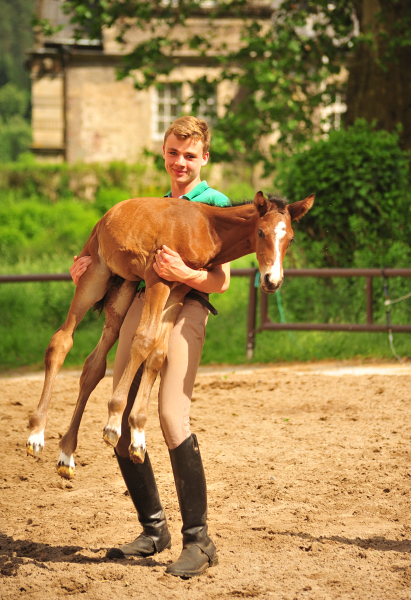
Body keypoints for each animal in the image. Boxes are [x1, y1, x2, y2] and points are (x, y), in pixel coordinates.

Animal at [25, 191, 314, 478]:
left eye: (290, 238)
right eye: (261, 232)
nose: (271, 281)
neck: (208, 228)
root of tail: (104, 218)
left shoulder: (179, 287)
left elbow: (157, 353)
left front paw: (138, 435)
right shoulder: (158, 277)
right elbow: (143, 340)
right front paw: (114, 422)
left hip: (124, 290)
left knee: (94, 365)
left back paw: (66, 454)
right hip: (94, 275)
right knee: (61, 341)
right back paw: (36, 435)